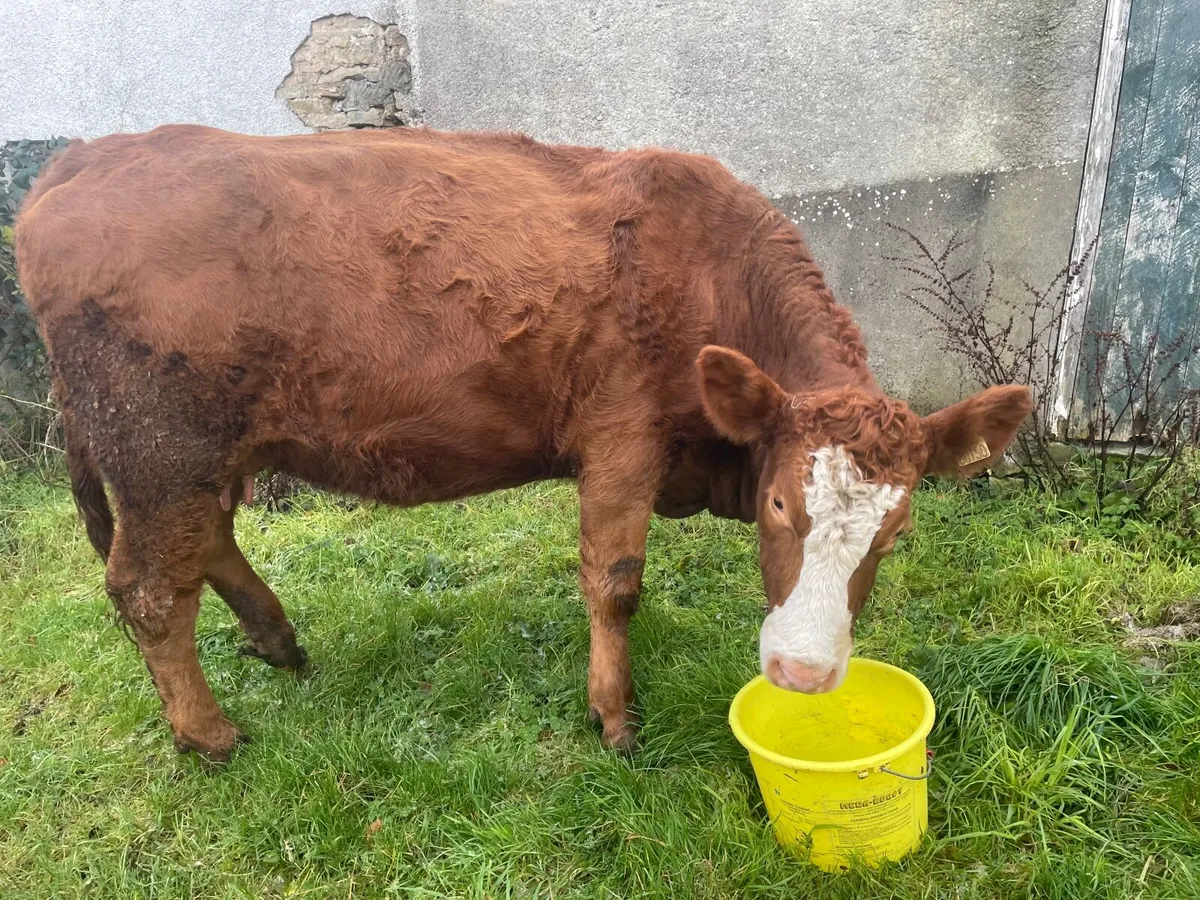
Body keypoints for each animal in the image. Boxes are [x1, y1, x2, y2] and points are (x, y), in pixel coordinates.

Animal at [15, 125, 1032, 761]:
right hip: (158, 448)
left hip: (201, 454)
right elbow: (614, 581)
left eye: (896, 532)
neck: (707, 271)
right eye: (781, 503)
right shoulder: (623, 436)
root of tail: (86, 159)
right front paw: (615, 717)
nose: (805, 673)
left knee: (206, 548)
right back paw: (208, 734)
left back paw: (278, 640)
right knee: (149, 589)